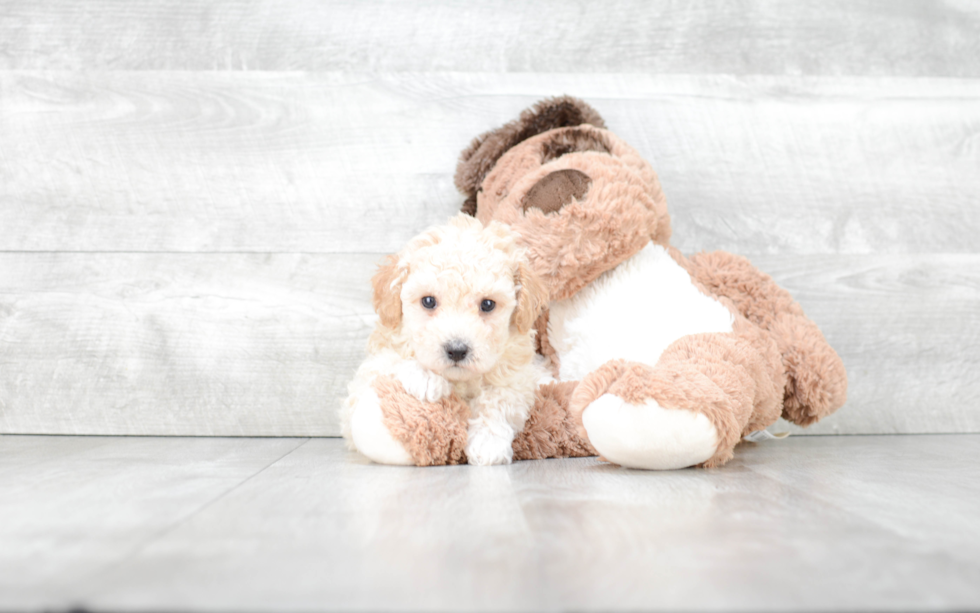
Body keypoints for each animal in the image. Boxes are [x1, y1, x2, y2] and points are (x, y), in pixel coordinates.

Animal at [340, 214, 548, 464]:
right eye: (428, 301)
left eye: (488, 304)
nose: (457, 350)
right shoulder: (361, 384)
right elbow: (389, 360)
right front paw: (426, 377)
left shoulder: (517, 379)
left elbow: (498, 399)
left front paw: (488, 442)